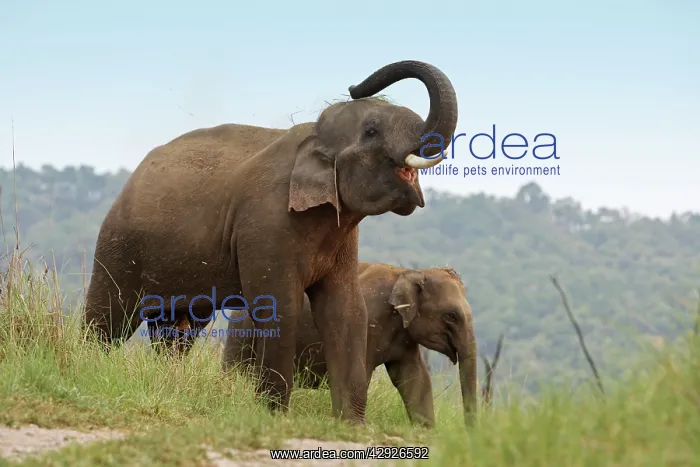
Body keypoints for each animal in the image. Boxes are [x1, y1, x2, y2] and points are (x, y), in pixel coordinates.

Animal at [221, 261, 477, 427]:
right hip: (242, 332)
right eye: (451, 316)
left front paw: (426, 431)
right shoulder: (370, 323)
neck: (406, 273)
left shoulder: (405, 337)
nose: (469, 432)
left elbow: (415, 379)